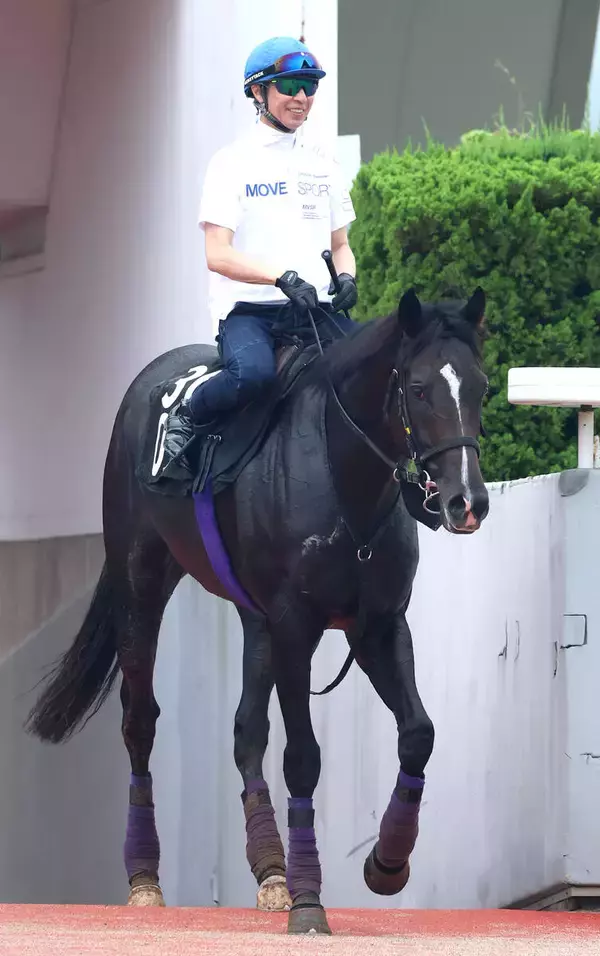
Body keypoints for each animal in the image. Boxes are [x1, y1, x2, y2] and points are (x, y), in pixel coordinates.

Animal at [26, 286, 490, 934]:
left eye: (482, 387)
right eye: (419, 388)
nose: (467, 501)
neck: (340, 475)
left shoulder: (379, 625)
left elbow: (418, 732)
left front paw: (386, 863)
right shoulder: (297, 624)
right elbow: (303, 757)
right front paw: (309, 902)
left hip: (255, 619)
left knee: (247, 729)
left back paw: (271, 871)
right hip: (141, 582)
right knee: (139, 720)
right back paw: (145, 881)